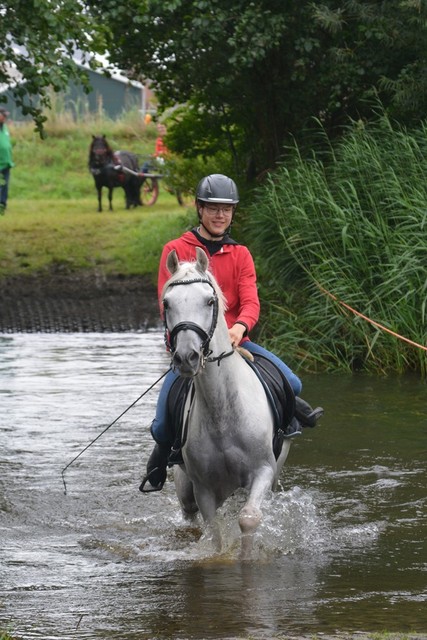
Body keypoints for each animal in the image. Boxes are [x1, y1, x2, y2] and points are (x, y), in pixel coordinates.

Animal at [162, 248, 292, 556]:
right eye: (167, 303)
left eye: (209, 301)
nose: (187, 357)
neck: (222, 410)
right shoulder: (204, 489)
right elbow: (215, 534)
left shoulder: (263, 470)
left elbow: (248, 518)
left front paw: (247, 556)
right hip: (185, 487)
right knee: (189, 515)